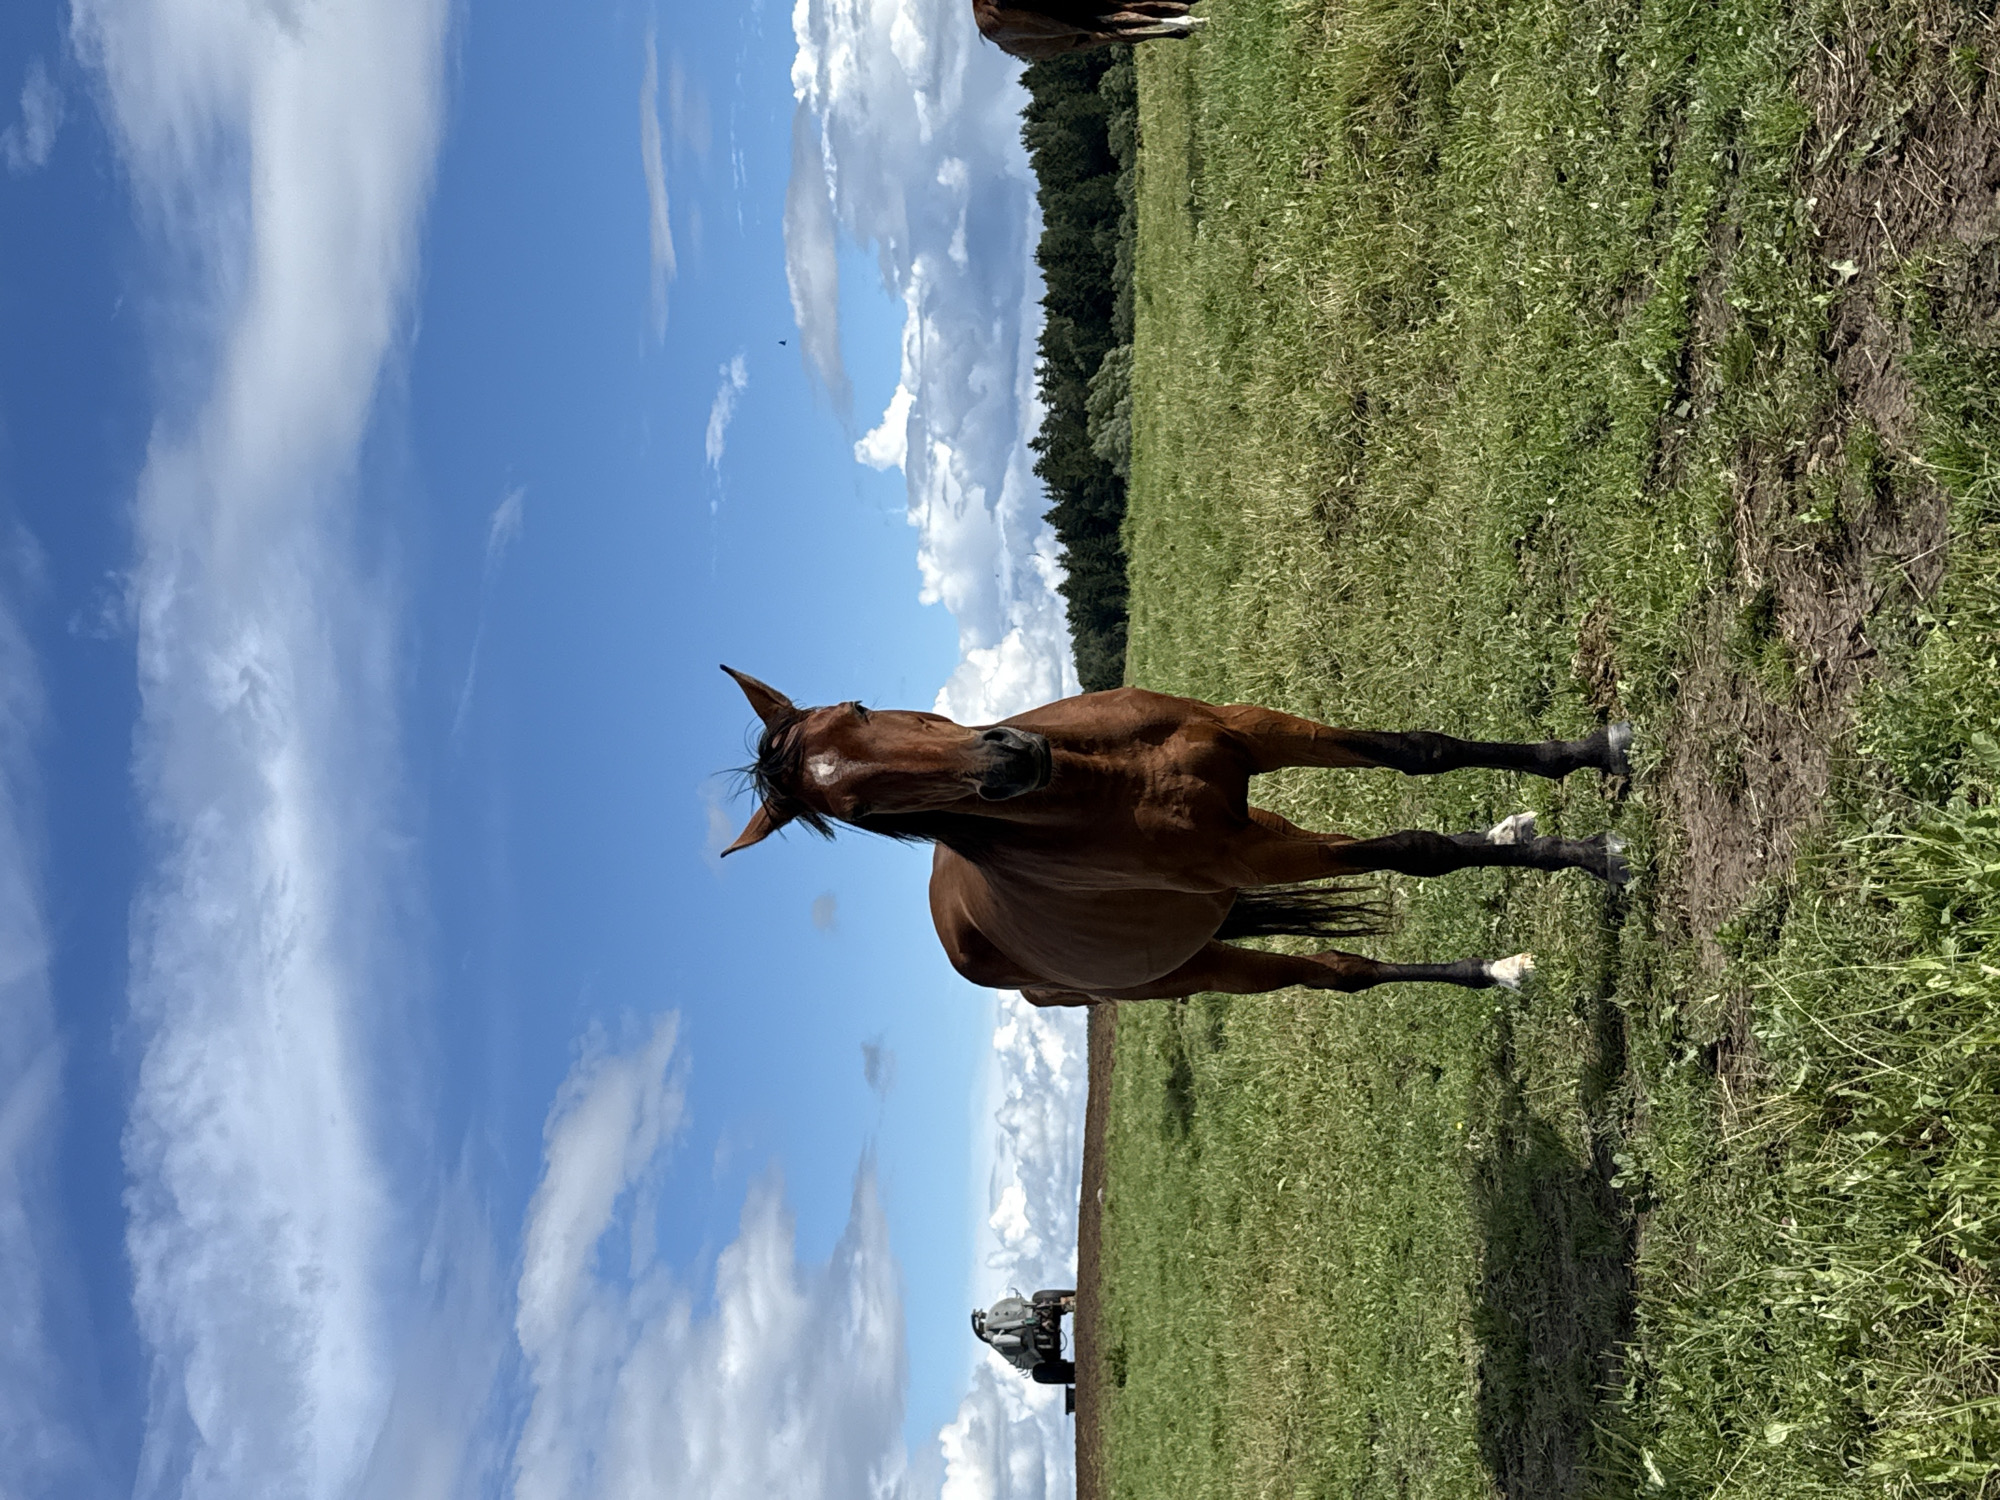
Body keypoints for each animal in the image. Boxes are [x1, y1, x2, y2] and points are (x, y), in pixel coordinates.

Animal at [718, 667, 1631, 1006]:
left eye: (861, 709)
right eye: (861, 810)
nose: (1008, 760)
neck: (1106, 781)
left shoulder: (1254, 735)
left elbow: (1419, 751)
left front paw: (1590, 751)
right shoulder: (1254, 856)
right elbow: (1418, 850)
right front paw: (1593, 856)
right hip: (1204, 961)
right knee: (1339, 972)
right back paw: (1498, 966)